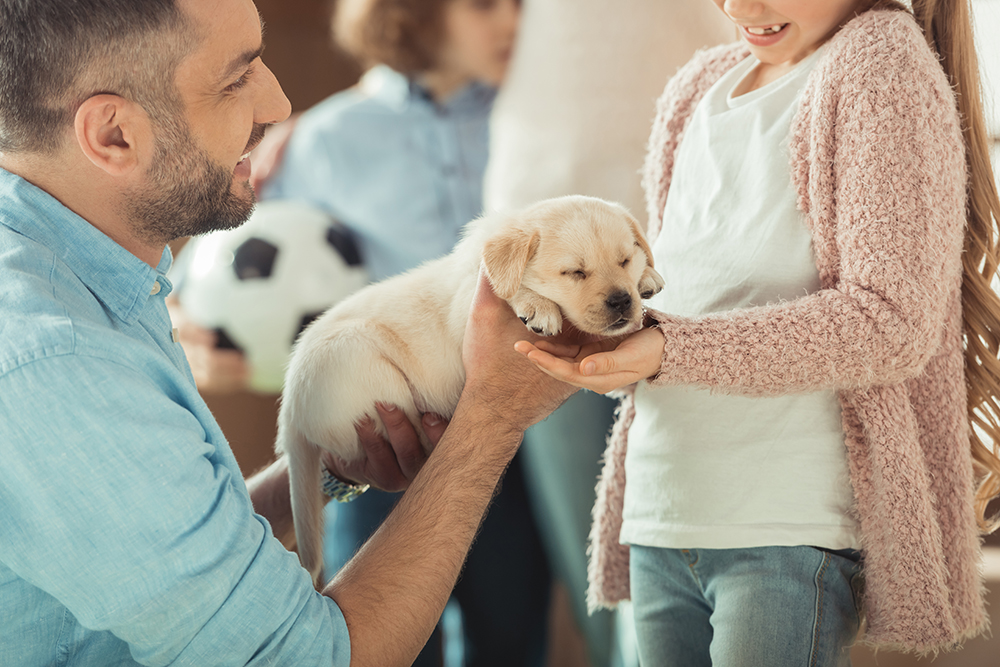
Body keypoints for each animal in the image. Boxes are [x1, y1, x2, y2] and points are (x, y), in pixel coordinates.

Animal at [276, 194, 664, 584]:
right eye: (574, 272)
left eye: (624, 260)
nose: (622, 301)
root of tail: (290, 411)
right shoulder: (470, 309)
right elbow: (509, 290)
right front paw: (536, 305)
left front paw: (648, 277)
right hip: (362, 365)